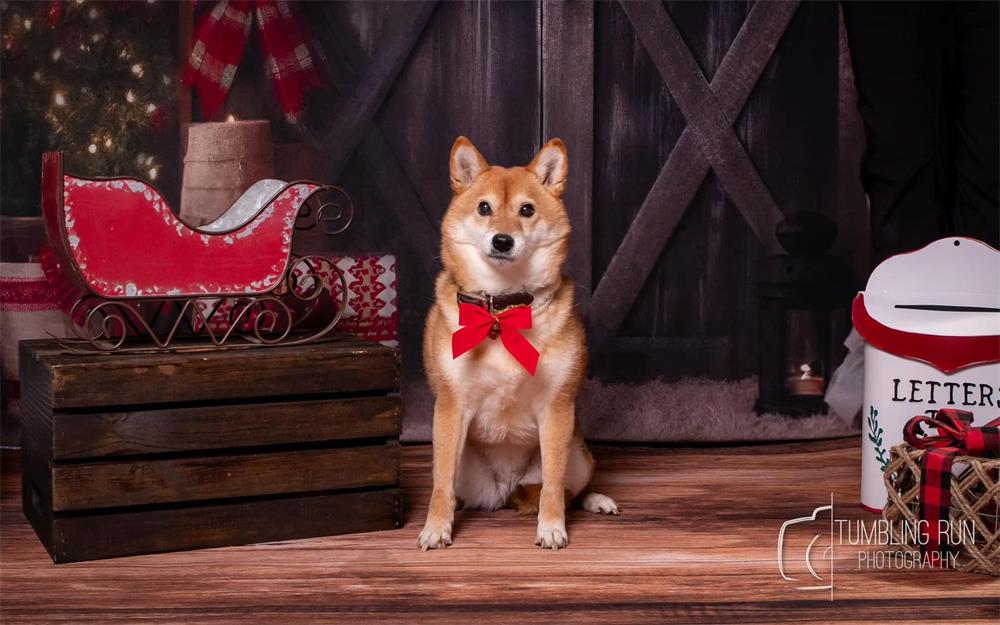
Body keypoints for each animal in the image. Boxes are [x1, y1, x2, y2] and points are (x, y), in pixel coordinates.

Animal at [416, 136, 616, 552]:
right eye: (484, 208)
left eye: (527, 210)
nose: (502, 240)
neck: (501, 311)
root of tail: (506, 490)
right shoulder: (451, 407)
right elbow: (440, 484)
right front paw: (436, 527)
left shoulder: (556, 409)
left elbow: (553, 486)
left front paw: (552, 527)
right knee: (453, 487)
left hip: (579, 452)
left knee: (571, 490)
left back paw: (596, 500)